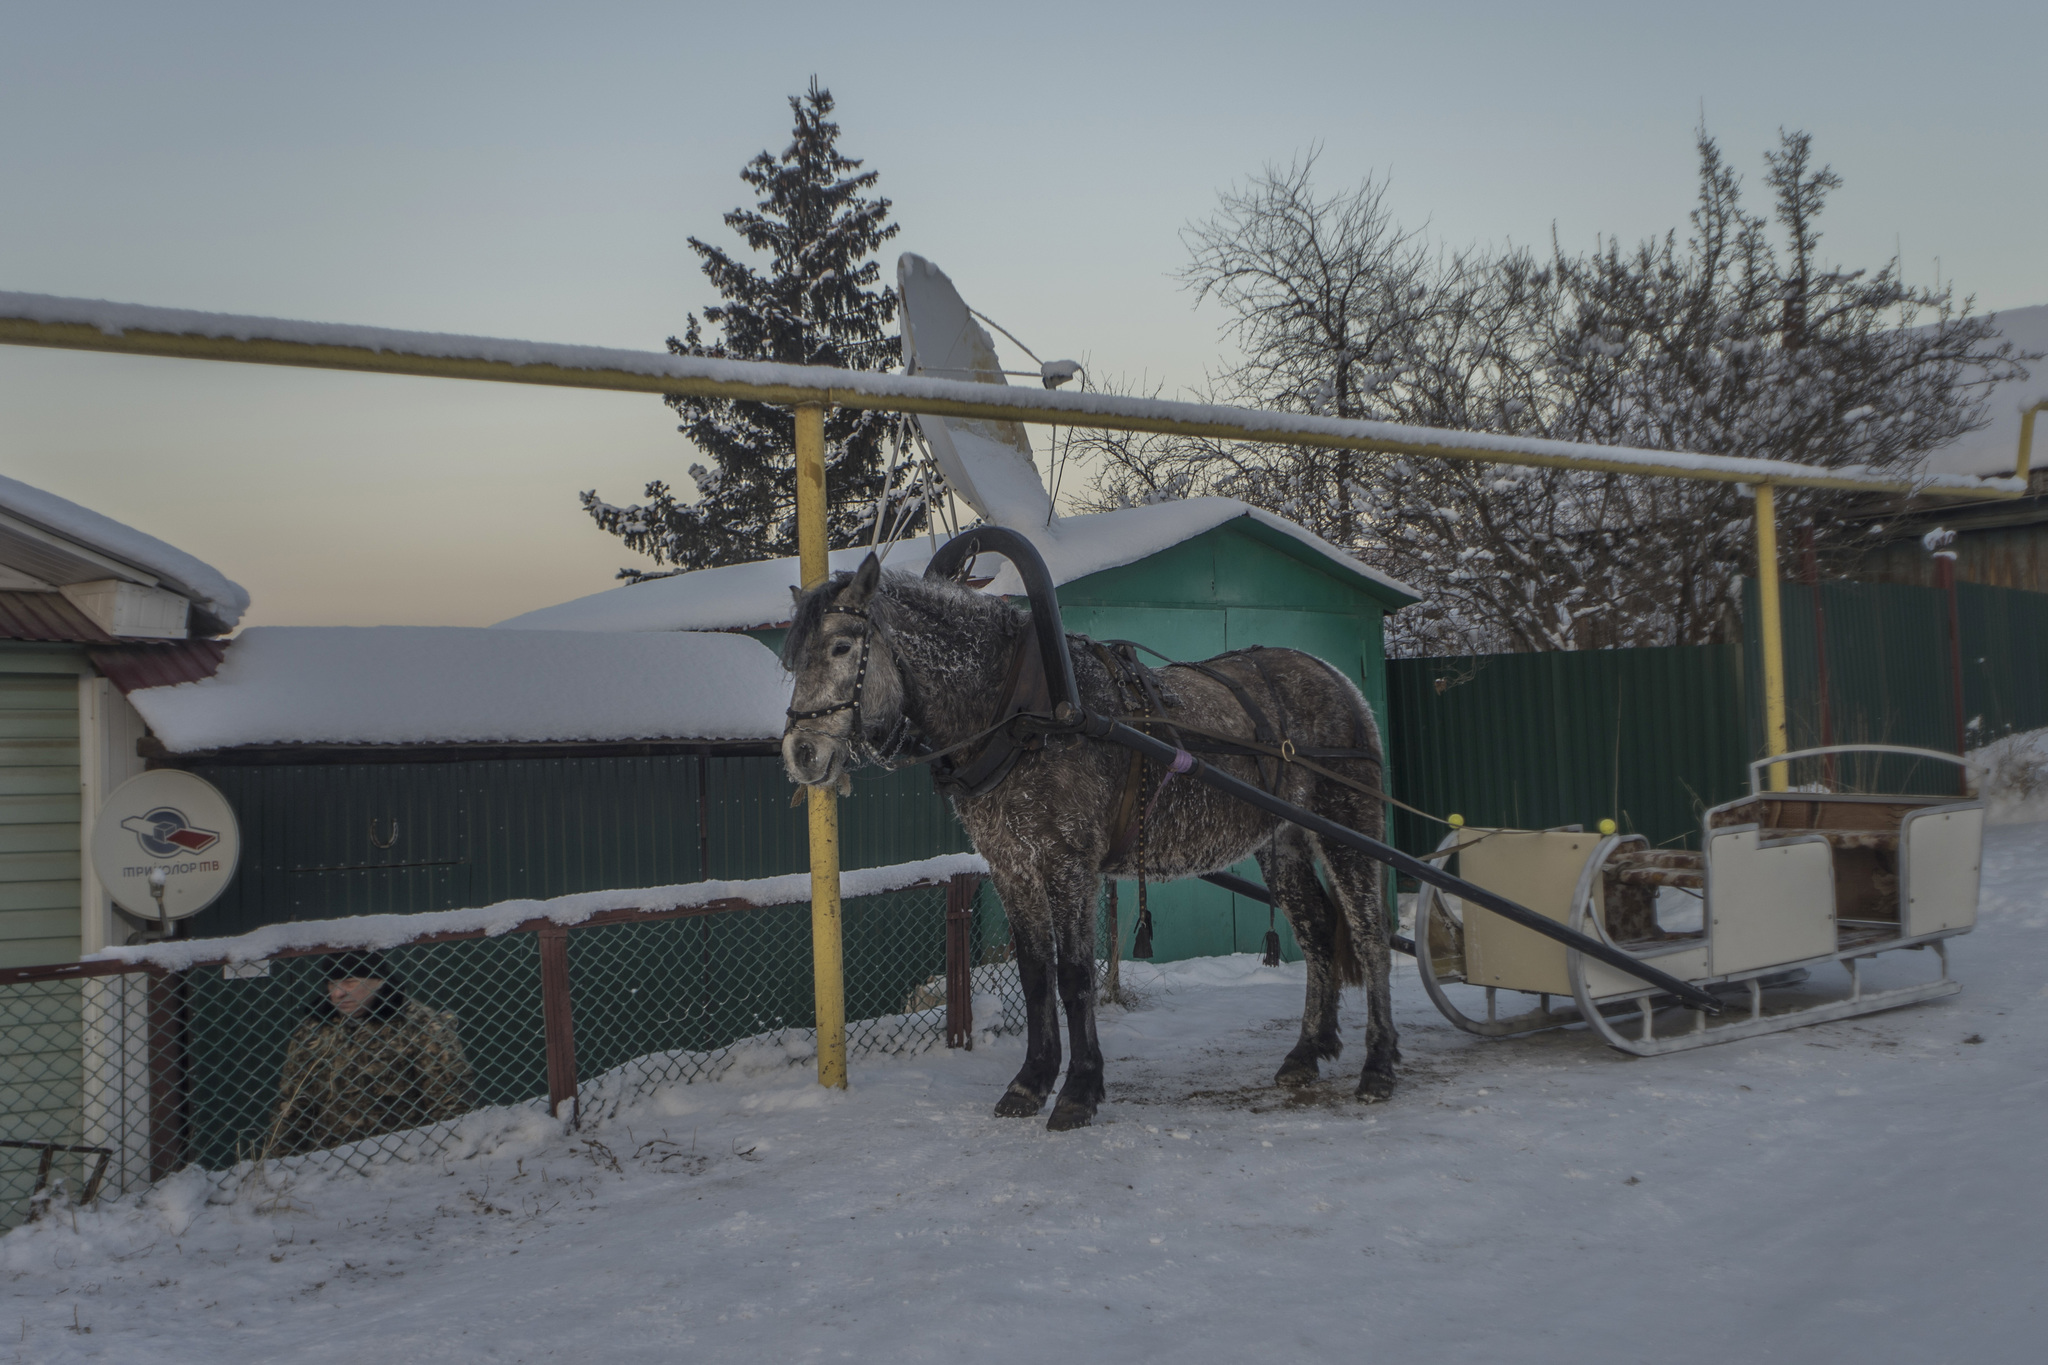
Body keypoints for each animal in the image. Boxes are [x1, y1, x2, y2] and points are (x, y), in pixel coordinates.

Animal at [774, 552, 1400, 1129]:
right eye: (792, 659)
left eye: (841, 647)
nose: (800, 754)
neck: (1022, 711)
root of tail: (1337, 679)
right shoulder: (1012, 865)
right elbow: (1034, 976)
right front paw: (1030, 1082)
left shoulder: (1068, 862)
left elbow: (1074, 976)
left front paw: (1079, 1089)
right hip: (1284, 842)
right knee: (1317, 932)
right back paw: (1307, 1051)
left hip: (1349, 825)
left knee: (1370, 935)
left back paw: (1379, 1064)